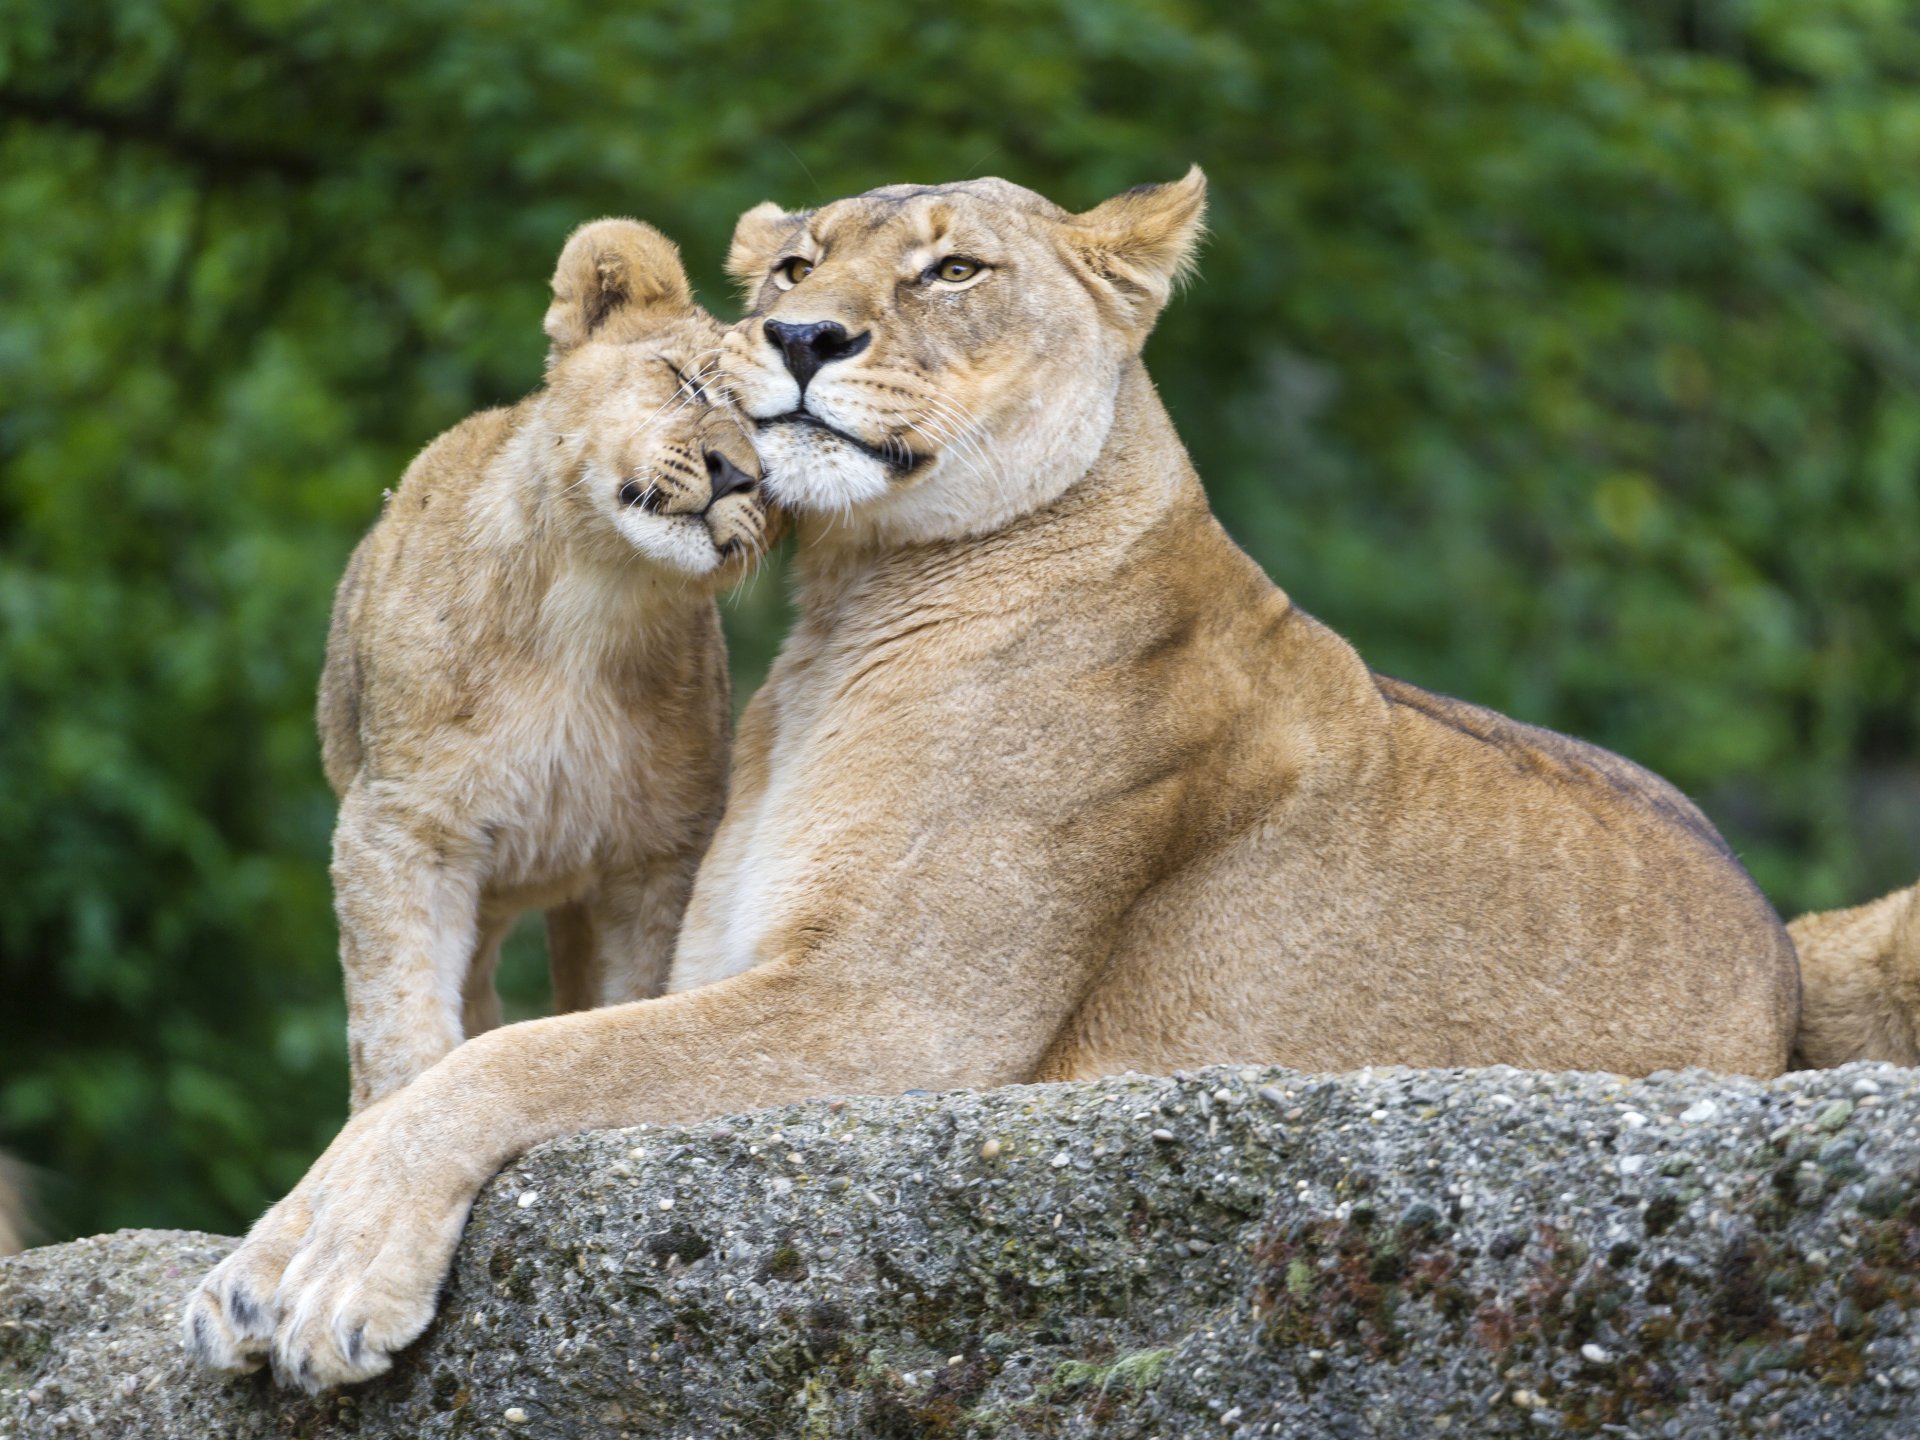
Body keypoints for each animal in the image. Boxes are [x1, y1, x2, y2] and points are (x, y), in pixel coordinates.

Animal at [317, 217, 771, 1110]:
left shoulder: (657, 856)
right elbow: (399, 1019)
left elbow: (636, 1002)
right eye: (686, 383)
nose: (736, 474)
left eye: (780, 435)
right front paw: (393, 1120)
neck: (595, 606)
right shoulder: (401, 827)